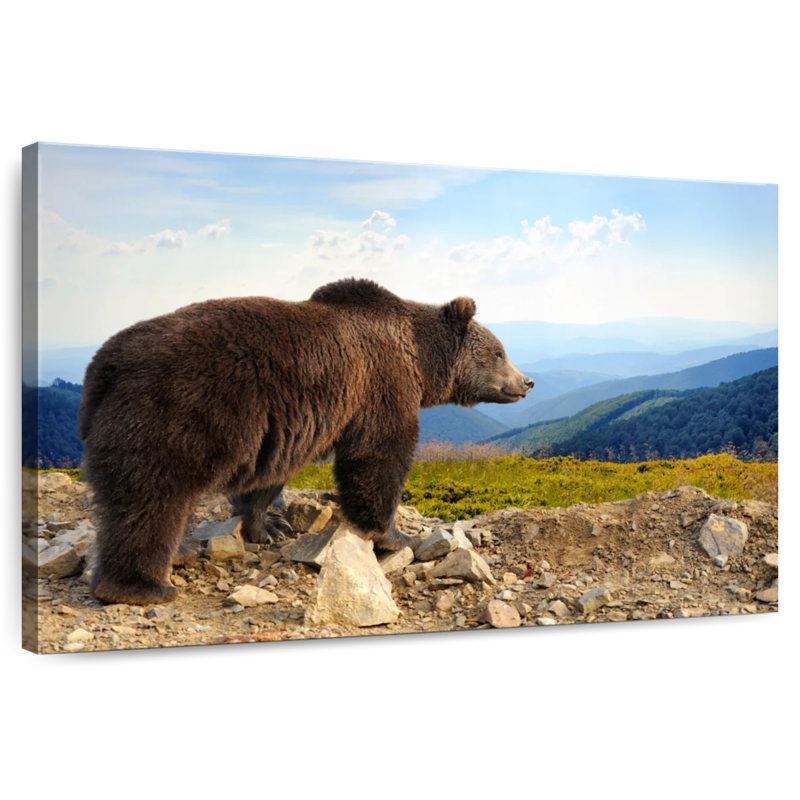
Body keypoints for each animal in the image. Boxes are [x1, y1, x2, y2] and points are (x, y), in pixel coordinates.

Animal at [78, 278, 534, 605]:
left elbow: (268, 477)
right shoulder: (380, 385)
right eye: (499, 351)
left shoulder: (286, 425)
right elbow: (379, 455)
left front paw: (268, 526)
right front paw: (397, 536)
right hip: (179, 410)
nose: (526, 382)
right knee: (152, 497)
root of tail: (104, 365)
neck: (420, 360)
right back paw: (141, 585)